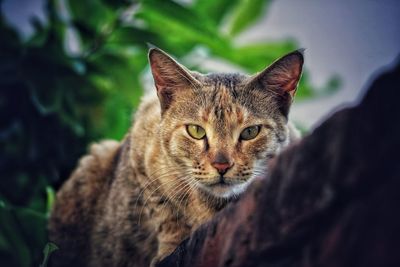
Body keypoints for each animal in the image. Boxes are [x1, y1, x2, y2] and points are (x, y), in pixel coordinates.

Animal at [47, 48, 304, 267]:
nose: (221, 165)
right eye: (196, 130)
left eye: (250, 132)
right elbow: (165, 212)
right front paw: (170, 246)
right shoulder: (141, 151)